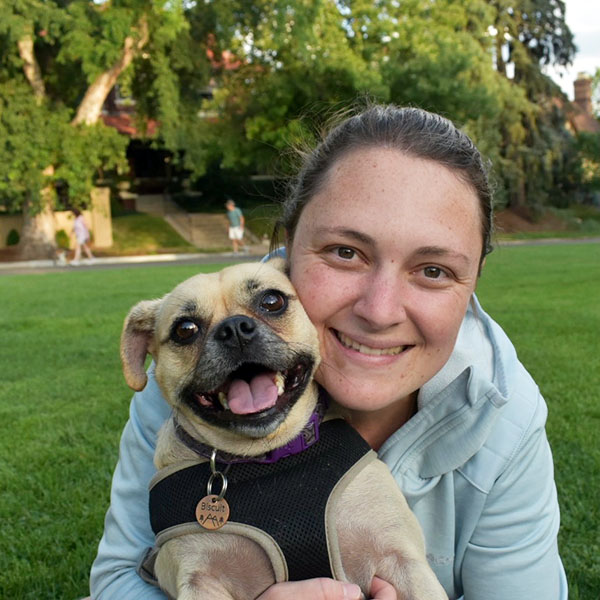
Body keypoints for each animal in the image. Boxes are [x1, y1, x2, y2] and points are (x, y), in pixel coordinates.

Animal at [119, 258, 446, 600]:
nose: (234, 328)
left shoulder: (403, 560)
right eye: (185, 329)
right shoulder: (198, 582)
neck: (267, 454)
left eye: (272, 301)